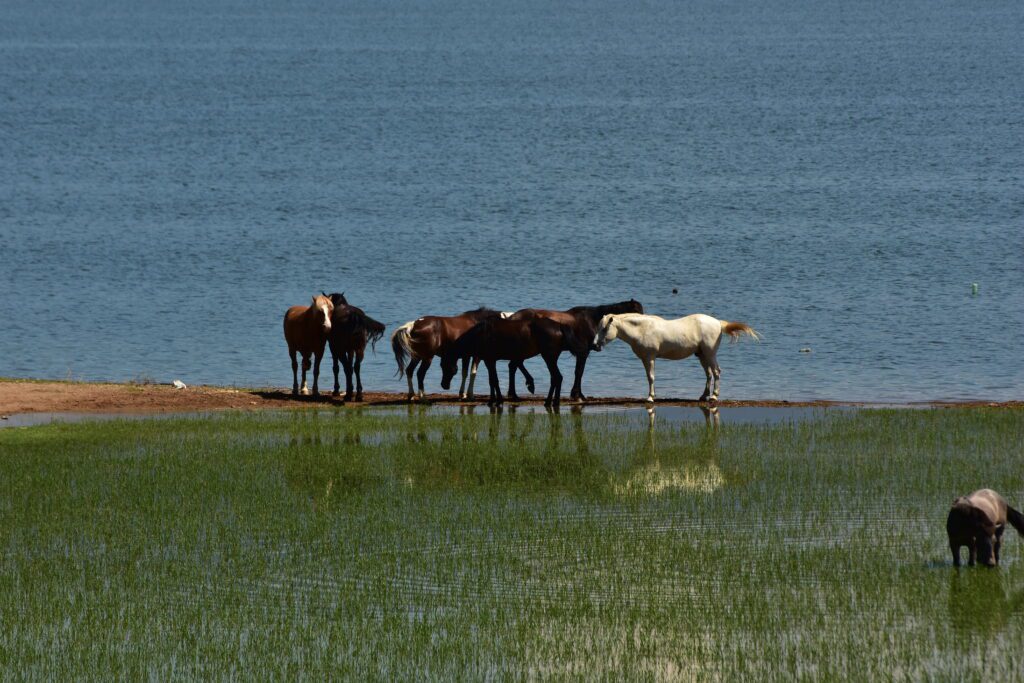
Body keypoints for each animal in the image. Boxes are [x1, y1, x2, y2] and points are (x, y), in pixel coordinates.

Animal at [391, 305, 532, 397]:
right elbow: (472, 373)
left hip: (417, 356)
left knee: (409, 371)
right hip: (427, 357)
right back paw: (422, 396)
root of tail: (413, 325)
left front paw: (463, 393)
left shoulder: (466, 356)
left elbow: (465, 373)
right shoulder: (476, 356)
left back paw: (411, 394)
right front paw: (468, 394)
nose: (444, 386)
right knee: (420, 373)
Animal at [436, 313, 589, 405]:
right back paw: (552, 401)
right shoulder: (489, 361)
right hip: (551, 358)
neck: (481, 334)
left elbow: (494, 381)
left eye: (445, 365)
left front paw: (497, 400)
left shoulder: (490, 360)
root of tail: (559, 325)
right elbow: (492, 381)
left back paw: (550, 402)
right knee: (556, 378)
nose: (444, 385)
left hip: (549, 357)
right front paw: (493, 400)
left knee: (557, 377)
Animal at [503, 299, 638, 401]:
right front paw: (578, 395)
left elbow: (579, 372)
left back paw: (515, 392)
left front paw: (577, 394)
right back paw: (526, 386)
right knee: (515, 364)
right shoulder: (583, 352)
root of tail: (511, 317)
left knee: (514, 365)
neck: (592, 320)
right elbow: (579, 372)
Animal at [593, 313, 761, 403]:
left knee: (716, 372)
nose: (595, 345)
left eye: (604, 329)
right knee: (709, 374)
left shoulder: (649, 358)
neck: (642, 329)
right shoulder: (646, 359)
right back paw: (704, 395)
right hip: (702, 355)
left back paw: (714, 396)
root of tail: (718, 323)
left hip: (710, 354)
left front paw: (650, 397)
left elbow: (651, 377)